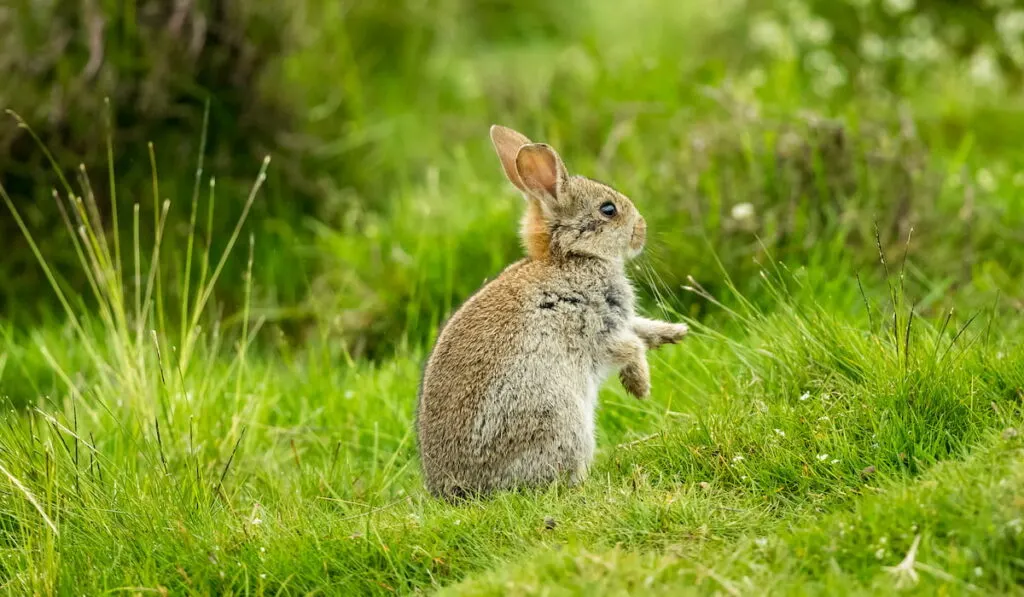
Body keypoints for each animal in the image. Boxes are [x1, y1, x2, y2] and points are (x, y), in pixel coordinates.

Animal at [413, 124, 688, 499]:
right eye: (608, 210)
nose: (641, 231)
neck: (571, 258)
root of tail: (457, 490)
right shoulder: (594, 326)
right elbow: (629, 347)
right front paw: (640, 387)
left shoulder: (620, 321)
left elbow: (640, 330)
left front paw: (675, 333)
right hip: (559, 418)